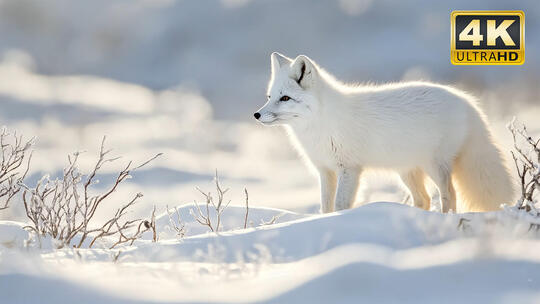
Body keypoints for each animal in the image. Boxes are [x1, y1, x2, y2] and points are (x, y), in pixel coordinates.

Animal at [255, 52, 512, 213]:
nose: (256, 115)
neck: (320, 124)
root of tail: (468, 102)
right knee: (424, 199)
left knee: (449, 195)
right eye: (269, 96)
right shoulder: (325, 170)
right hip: (407, 171)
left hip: (434, 166)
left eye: (285, 98)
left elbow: (340, 205)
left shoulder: (349, 169)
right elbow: (325, 207)